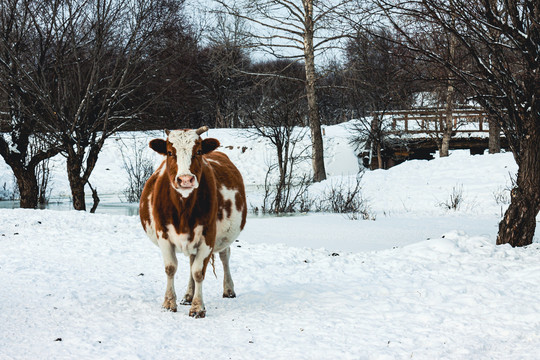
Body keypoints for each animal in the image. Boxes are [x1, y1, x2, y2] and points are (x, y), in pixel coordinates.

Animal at [140, 126, 248, 318]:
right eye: (170, 152)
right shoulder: (163, 234)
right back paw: (188, 296)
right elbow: (171, 268)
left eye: (198, 151)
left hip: (223, 237)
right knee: (191, 261)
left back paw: (228, 289)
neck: (183, 209)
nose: (185, 179)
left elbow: (198, 272)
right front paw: (169, 303)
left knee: (224, 256)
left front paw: (198, 307)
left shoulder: (208, 236)